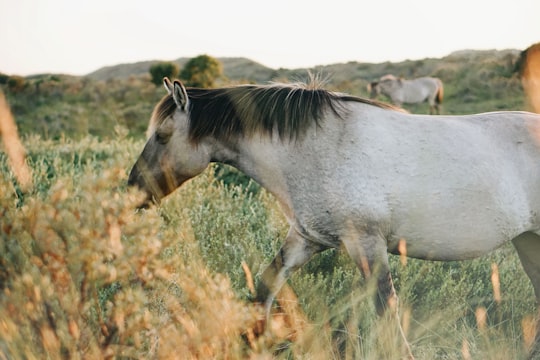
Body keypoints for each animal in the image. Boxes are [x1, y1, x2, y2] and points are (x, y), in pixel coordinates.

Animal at [127, 77, 540, 358]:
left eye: (162, 135)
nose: (132, 190)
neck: (314, 148)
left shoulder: (367, 244)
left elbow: (388, 315)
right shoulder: (306, 239)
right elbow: (264, 291)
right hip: (528, 242)